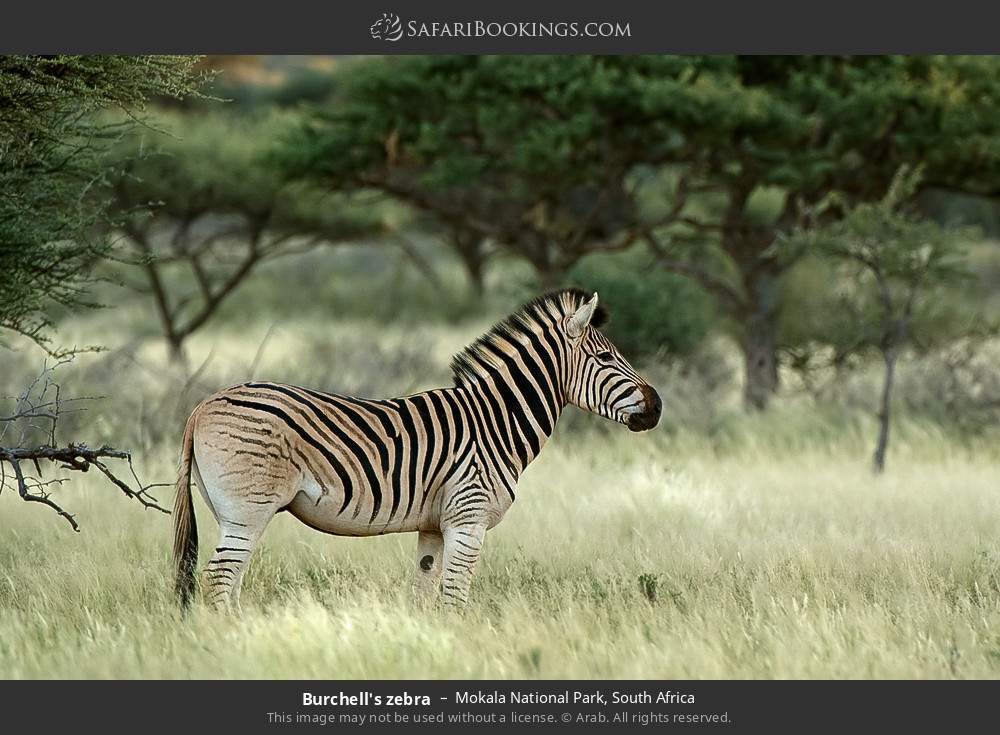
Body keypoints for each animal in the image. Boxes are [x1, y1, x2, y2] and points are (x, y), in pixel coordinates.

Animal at [172, 289, 661, 610]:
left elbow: (425, 595)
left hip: (234, 514)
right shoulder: (468, 519)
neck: (495, 421)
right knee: (218, 580)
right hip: (247, 511)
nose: (657, 406)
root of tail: (202, 406)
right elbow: (455, 598)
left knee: (227, 583)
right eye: (605, 359)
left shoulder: (434, 526)